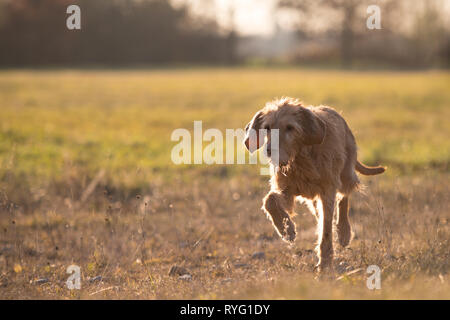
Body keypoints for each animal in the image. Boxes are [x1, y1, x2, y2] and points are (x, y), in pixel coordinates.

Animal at [244, 98, 384, 272]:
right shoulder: (287, 190)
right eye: (267, 128)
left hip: (346, 173)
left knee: (344, 197)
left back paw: (344, 232)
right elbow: (270, 200)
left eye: (290, 128)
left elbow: (326, 229)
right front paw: (286, 230)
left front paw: (325, 263)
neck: (301, 157)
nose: (270, 151)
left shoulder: (327, 191)